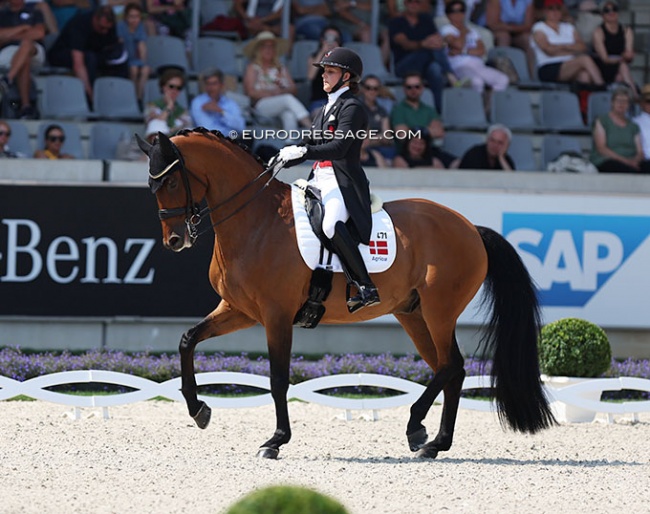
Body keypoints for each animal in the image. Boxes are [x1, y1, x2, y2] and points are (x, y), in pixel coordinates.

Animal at [135, 127, 552, 456]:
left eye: (171, 182)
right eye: (151, 186)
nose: (174, 240)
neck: (256, 223)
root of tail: (470, 228)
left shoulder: (275, 316)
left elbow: (278, 379)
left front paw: (275, 440)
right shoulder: (239, 310)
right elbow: (188, 341)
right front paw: (199, 411)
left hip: (440, 311)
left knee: (451, 365)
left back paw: (417, 428)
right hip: (414, 314)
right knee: (450, 369)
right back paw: (434, 442)